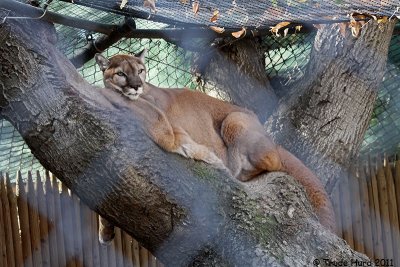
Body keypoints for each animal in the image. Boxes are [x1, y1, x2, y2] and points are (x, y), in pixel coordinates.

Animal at [95, 49, 336, 245]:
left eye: (141, 70)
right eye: (121, 73)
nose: (136, 85)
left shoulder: (165, 122)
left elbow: (144, 113)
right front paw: (105, 229)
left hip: (234, 120)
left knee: (272, 161)